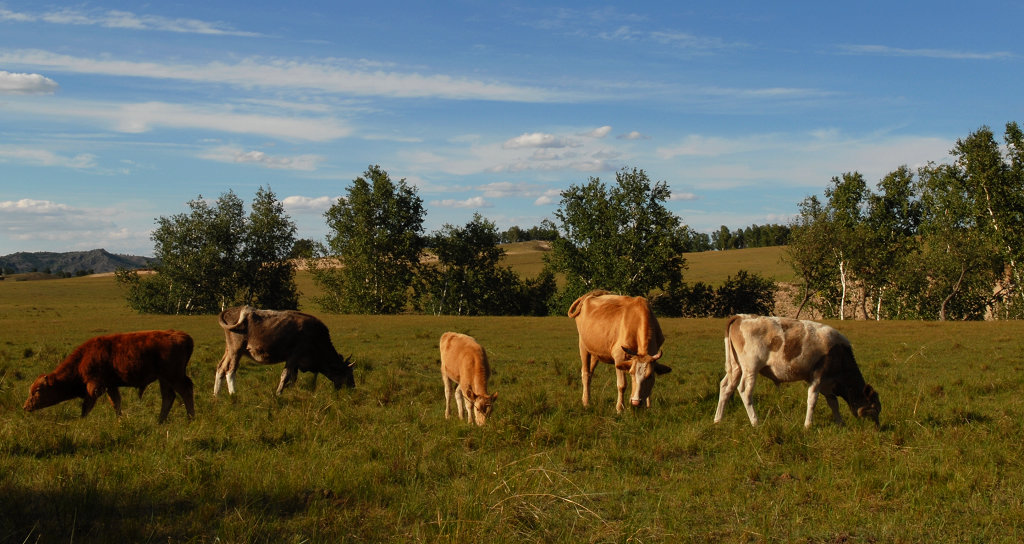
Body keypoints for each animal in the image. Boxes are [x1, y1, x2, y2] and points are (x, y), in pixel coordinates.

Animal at [23, 329, 195, 424]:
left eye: (37, 390)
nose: (25, 407)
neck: (82, 359)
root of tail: (184, 336)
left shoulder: (95, 386)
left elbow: (87, 405)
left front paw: (81, 421)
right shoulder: (111, 385)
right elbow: (116, 403)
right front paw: (120, 421)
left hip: (173, 376)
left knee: (186, 390)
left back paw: (190, 419)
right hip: (164, 379)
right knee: (169, 396)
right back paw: (160, 422)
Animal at [212, 307, 356, 395]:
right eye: (348, 374)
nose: (353, 387)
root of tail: (234, 309)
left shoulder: (297, 363)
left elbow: (293, 377)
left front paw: (291, 392)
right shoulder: (293, 356)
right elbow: (285, 376)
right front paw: (278, 393)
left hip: (229, 349)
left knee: (221, 367)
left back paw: (216, 395)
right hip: (236, 349)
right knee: (230, 370)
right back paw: (233, 394)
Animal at [712, 315, 880, 430]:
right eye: (873, 407)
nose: (877, 427)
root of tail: (741, 316)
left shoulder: (828, 384)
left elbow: (833, 403)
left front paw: (840, 423)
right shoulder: (818, 377)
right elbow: (812, 401)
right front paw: (808, 425)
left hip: (736, 367)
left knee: (725, 387)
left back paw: (718, 419)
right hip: (751, 367)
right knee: (745, 391)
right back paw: (755, 422)